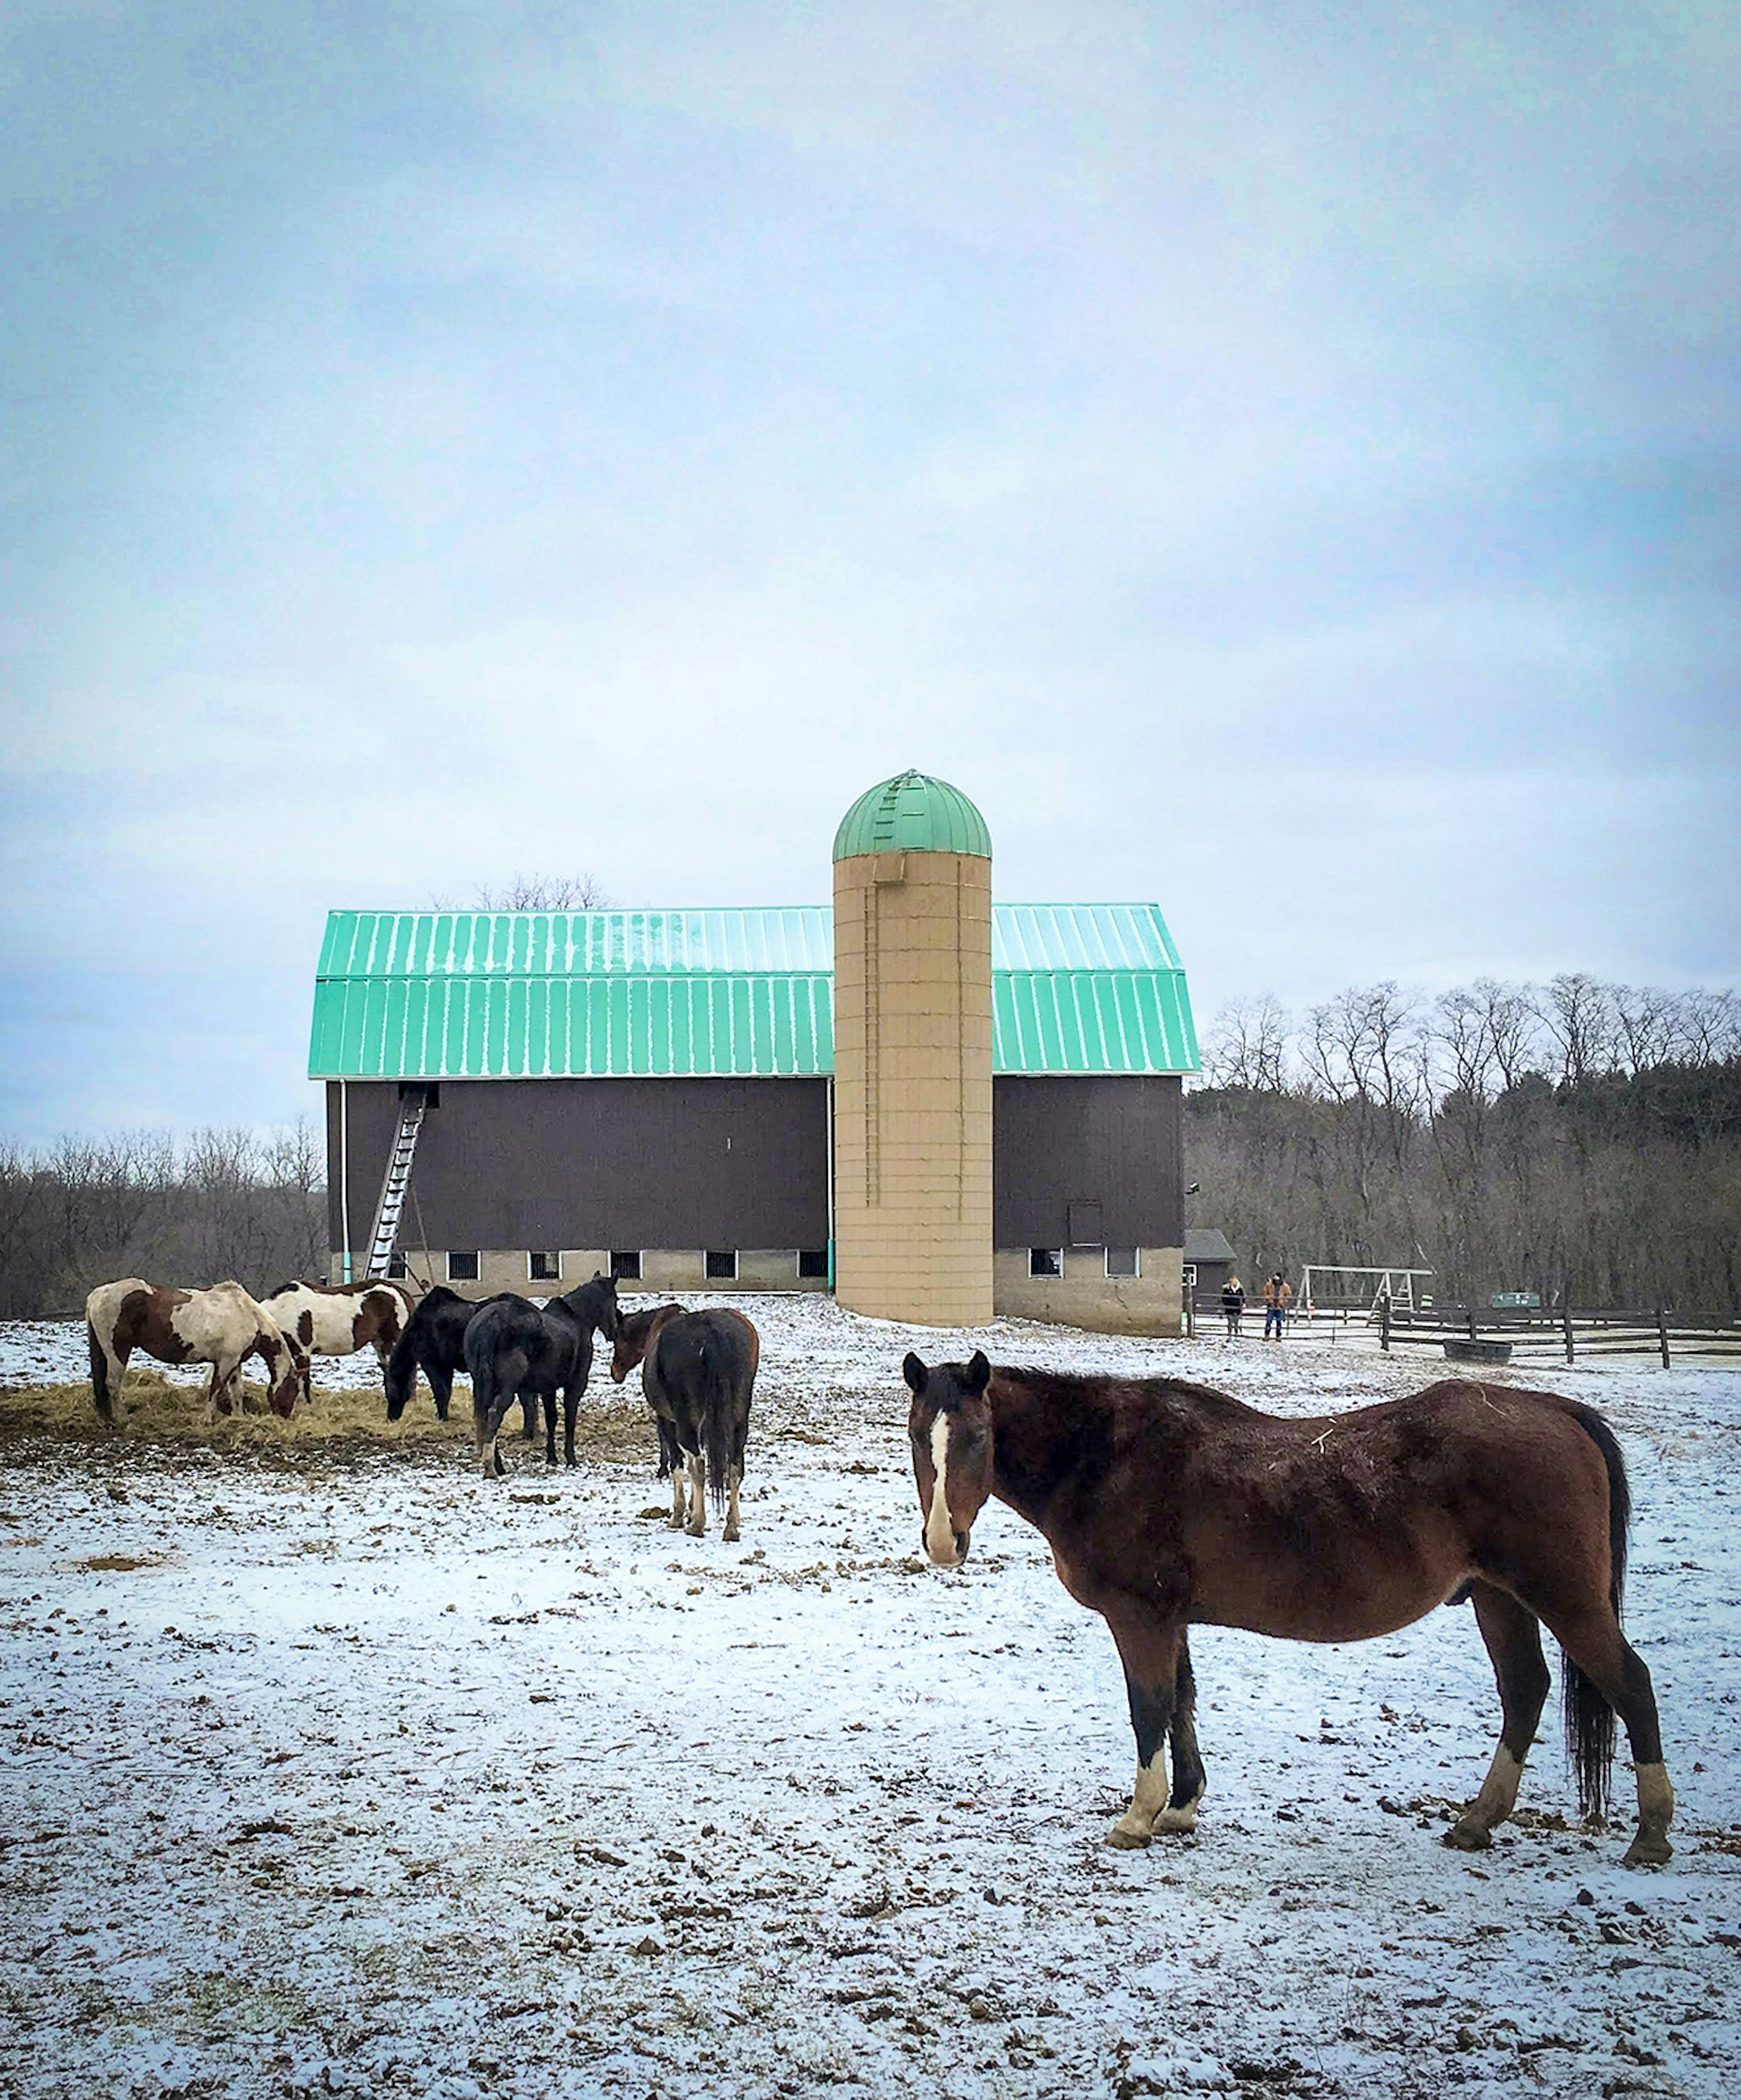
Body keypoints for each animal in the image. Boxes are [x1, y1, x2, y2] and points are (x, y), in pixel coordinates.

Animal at [87, 1276, 306, 1428]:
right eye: (294, 1390)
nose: (287, 1417)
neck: (249, 1315)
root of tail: (98, 1294)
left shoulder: (235, 1362)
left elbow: (237, 1392)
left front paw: (239, 1418)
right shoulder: (225, 1362)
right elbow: (216, 1389)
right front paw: (206, 1419)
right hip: (118, 1350)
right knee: (113, 1384)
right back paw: (122, 1419)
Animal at [466, 1260, 622, 1478]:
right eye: (614, 1299)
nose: (614, 1332)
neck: (578, 1320)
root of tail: (492, 1321)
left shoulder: (549, 1388)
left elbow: (551, 1419)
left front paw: (552, 1457)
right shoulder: (575, 1385)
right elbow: (569, 1419)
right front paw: (571, 1459)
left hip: (482, 1383)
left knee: (484, 1416)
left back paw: (499, 1466)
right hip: (507, 1387)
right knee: (494, 1414)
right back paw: (490, 1467)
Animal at [613, 1293, 756, 1545]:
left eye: (618, 1340)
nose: (615, 1372)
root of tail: (711, 1333)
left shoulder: (667, 1421)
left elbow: (677, 1464)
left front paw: (680, 1514)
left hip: (684, 1421)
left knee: (698, 1464)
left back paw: (697, 1524)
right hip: (739, 1419)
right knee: (735, 1467)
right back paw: (731, 1526)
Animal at [895, 1361, 1672, 1873]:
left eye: (976, 1438)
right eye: (917, 1438)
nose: (944, 1543)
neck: (1108, 1456)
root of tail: (1557, 1410)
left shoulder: (1141, 1617)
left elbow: (1149, 1707)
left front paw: (1140, 1816)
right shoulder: (1172, 1620)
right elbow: (1181, 1704)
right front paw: (1182, 1806)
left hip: (1564, 1598)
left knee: (1631, 1685)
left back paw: (1652, 1834)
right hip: (1499, 1599)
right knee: (1525, 1691)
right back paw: (1477, 1822)